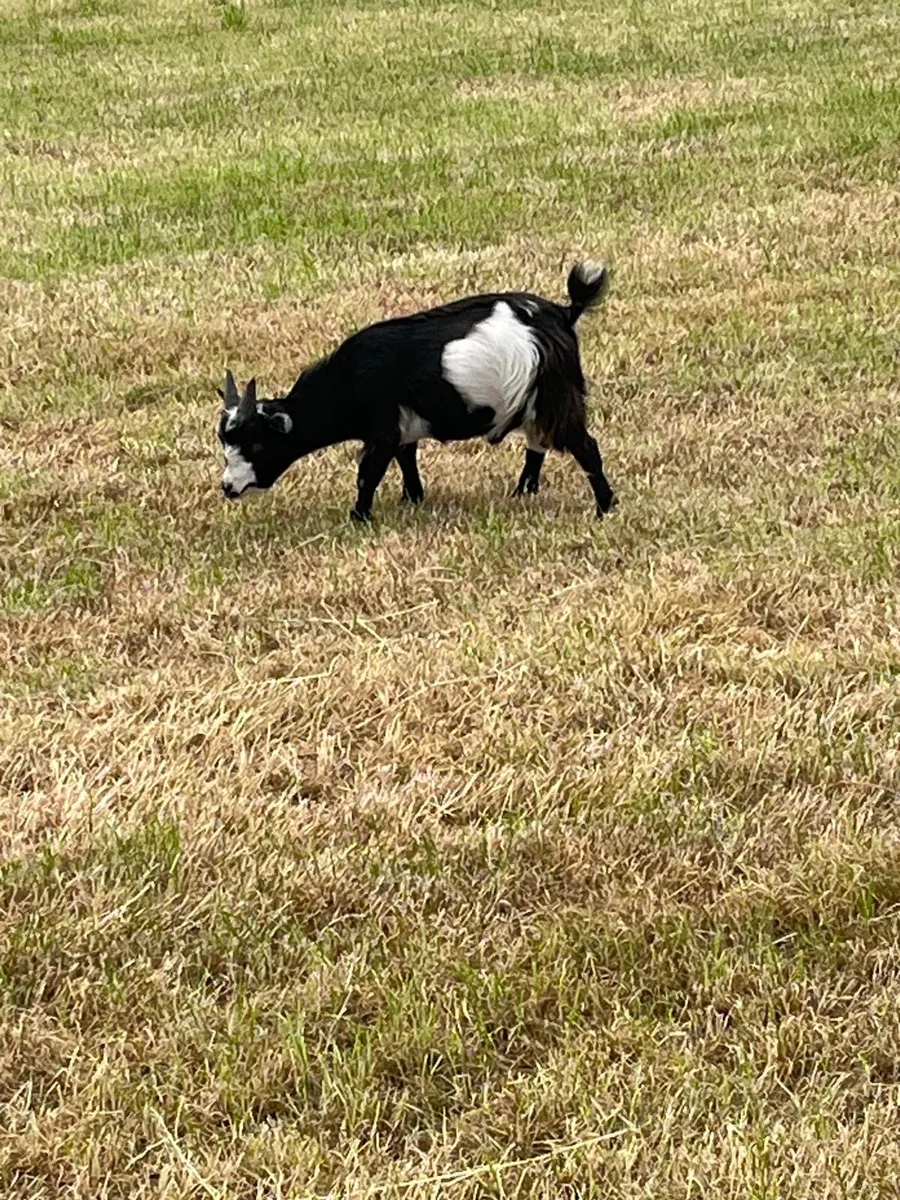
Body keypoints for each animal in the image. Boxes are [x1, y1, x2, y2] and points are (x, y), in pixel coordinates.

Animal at [218, 262, 616, 522]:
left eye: (257, 445)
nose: (228, 487)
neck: (350, 378)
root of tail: (563, 315)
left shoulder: (382, 426)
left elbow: (369, 471)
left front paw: (359, 517)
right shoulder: (402, 427)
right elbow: (406, 459)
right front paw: (412, 499)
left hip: (557, 397)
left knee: (585, 447)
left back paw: (605, 507)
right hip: (534, 400)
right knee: (538, 443)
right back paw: (522, 493)